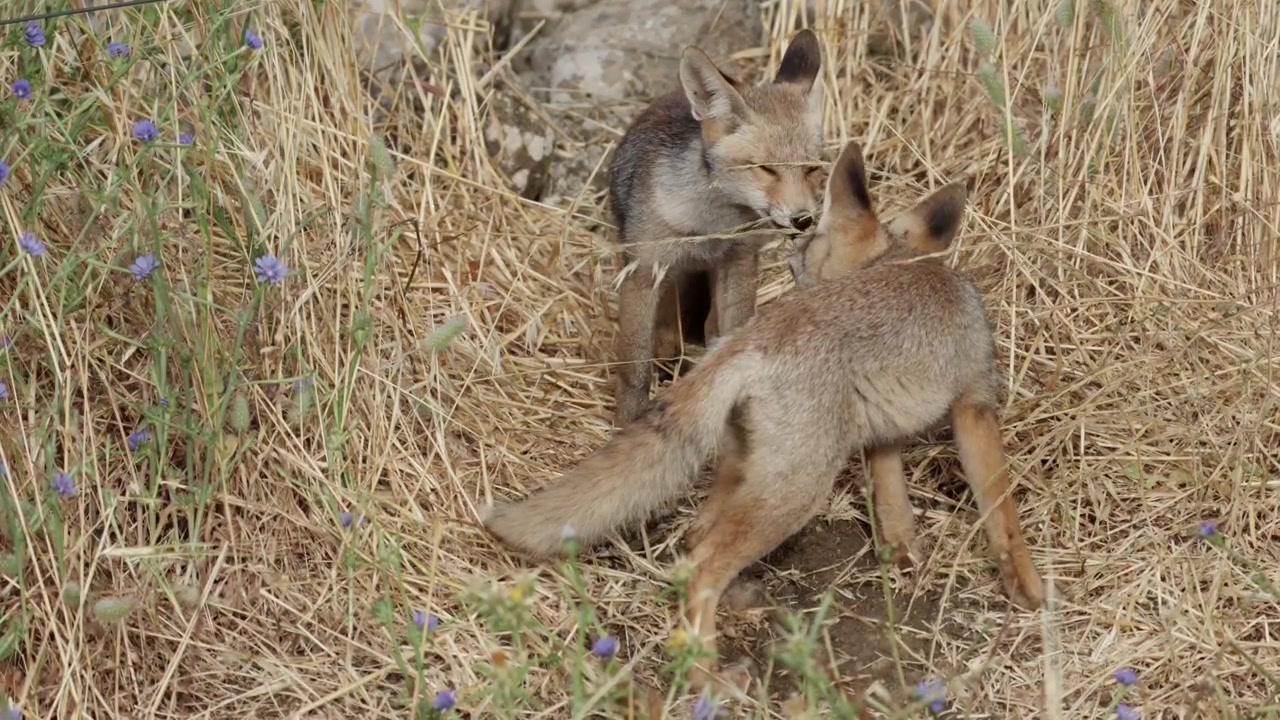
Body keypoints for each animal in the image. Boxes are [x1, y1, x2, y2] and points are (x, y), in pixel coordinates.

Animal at [482, 140, 1046, 691]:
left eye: (807, 254)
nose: (792, 252)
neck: (902, 264)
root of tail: (750, 336)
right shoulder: (975, 404)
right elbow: (1002, 511)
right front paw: (1029, 589)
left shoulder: (883, 434)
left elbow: (894, 507)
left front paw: (903, 556)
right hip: (796, 492)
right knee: (702, 564)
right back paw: (705, 675)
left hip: (751, 469)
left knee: (695, 539)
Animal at [606, 28, 827, 425]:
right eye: (765, 169)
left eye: (812, 168)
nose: (802, 219)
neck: (709, 226)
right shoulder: (643, 272)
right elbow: (634, 367)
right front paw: (627, 422)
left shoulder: (737, 263)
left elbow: (732, 335)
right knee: (666, 336)